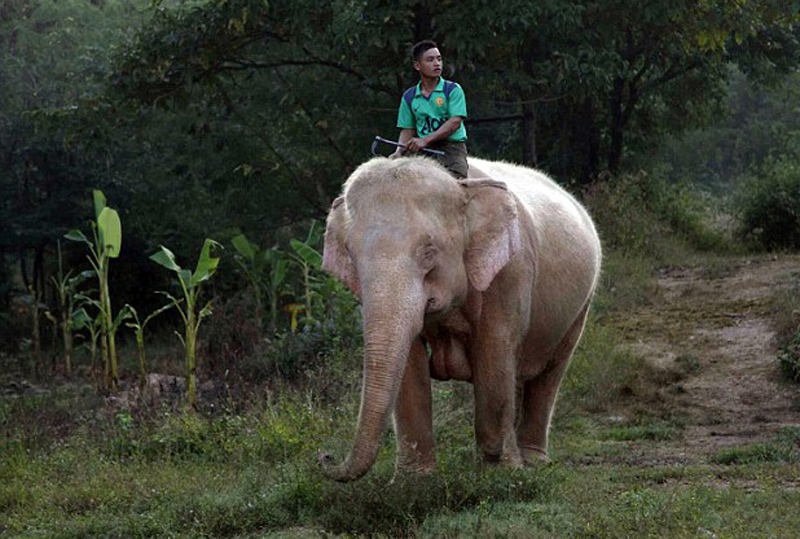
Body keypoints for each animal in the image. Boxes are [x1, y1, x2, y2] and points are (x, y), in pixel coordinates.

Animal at [319, 155, 601, 482]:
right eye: (351, 254)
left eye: (429, 252)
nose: (324, 457)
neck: (461, 188)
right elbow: (410, 363)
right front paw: (414, 480)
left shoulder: (511, 270)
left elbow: (494, 350)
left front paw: (501, 471)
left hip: (581, 305)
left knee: (550, 372)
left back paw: (533, 461)